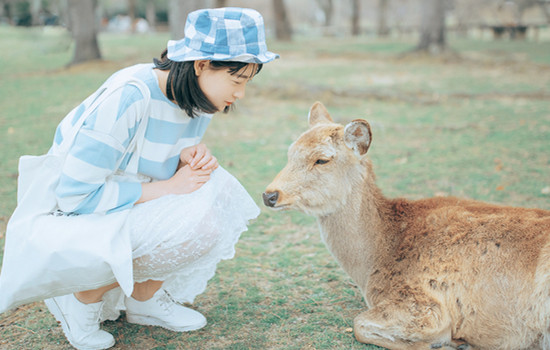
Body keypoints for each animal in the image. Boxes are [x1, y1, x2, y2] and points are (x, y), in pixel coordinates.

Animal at [264, 102, 550, 350]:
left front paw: (449, 343)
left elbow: (359, 324)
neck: (374, 263)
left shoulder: (423, 305)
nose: (269, 195)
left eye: (322, 160)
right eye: (290, 153)